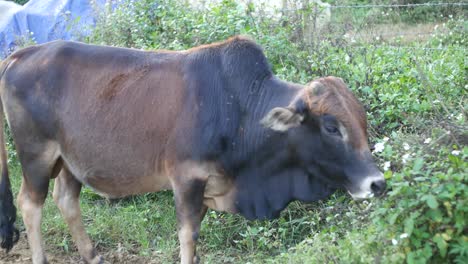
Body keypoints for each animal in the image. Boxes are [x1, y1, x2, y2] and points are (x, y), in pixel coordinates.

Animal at [0, 36, 384, 262]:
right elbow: (188, 235)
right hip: (37, 156)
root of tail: (21, 54)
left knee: (66, 200)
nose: (377, 183)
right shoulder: (187, 178)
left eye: (362, 120)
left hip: (69, 161)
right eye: (331, 127)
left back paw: (92, 255)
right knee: (30, 205)